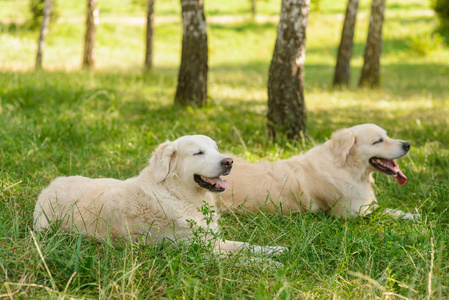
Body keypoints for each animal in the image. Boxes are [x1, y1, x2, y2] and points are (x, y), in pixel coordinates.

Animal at [36, 135, 288, 254]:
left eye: (216, 149)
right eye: (198, 152)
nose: (229, 162)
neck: (178, 195)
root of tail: (46, 189)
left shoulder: (212, 240)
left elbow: (244, 245)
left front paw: (276, 250)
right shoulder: (197, 251)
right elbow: (241, 258)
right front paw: (266, 265)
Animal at [219, 124, 414, 220]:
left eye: (387, 136)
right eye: (378, 141)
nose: (407, 144)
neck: (345, 167)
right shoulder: (351, 212)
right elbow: (386, 211)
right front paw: (414, 216)